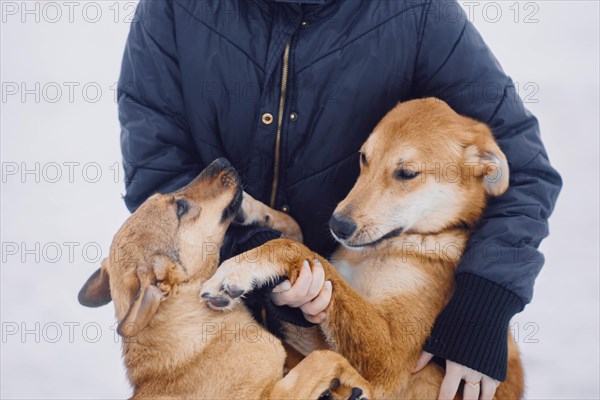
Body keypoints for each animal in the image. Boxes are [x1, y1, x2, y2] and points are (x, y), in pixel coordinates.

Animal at [77, 158, 372, 400]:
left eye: (169, 196)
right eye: (181, 208)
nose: (220, 160)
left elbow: (292, 227)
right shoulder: (272, 394)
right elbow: (326, 356)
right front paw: (361, 385)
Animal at [202, 98, 524, 398]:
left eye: (407, 173)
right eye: (364, 158)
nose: (337, 225)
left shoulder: (388, 358)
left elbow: (299, 249)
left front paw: (239, 269)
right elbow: (297, 232)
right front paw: (251, 208)